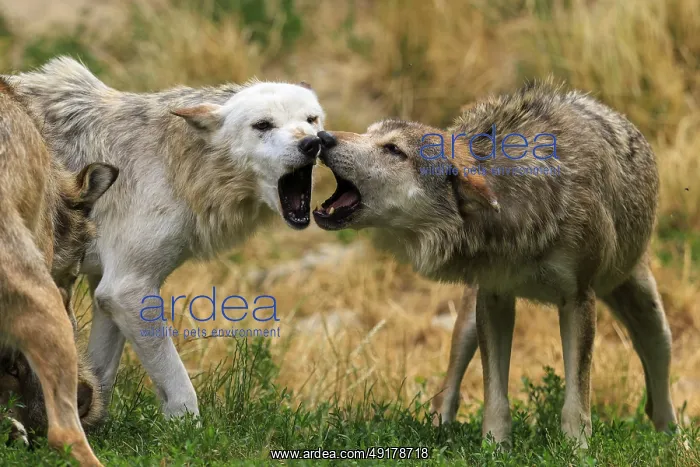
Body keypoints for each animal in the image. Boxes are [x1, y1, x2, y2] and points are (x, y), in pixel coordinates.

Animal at [4, 56, 325, 418]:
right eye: (263, 125)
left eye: (311, 119)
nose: (313, 143)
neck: (176, 165)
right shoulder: (127, 289)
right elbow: (181, 390)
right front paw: (189, 428)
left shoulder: (106, 289)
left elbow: (100, 376)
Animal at [313, 81, 678, 447]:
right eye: (369, 132)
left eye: (394, 149)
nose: (323, 137)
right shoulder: (494, 296)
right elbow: (495, 397)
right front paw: (495, 448)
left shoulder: (578, 299)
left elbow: (576, 401)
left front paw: (577, 450)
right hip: (468, 321)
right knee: (447, 389)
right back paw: (439, 431)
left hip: (654, 323)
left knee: (659, 395)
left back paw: (675, 442)